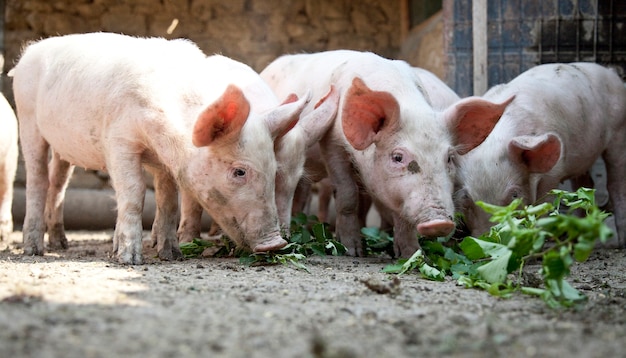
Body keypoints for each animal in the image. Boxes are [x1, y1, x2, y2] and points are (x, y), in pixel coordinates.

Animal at [11, 32, 308, 262]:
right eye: (239, 172)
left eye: (273, 171)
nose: (276, 243)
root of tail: (30, 51)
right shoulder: (119, 141)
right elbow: (134, 192)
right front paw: (130, 260)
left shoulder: (165, 161)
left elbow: (168, 201)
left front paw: (172, 256)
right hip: (28, 119)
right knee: (37, 179)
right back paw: (33, 250)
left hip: (63, 146)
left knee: (58, 182)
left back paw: (60, 244)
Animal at [258, 51, 508, 258]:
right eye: (397, 157)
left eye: (448, 158)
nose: (439, 222)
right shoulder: (332, 144)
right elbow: (347, 195)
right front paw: (352, 251)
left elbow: (398, 213)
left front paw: (411, 255)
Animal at [454, 62, 624, 246]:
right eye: (466, 198)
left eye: (515, 195)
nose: (489, 238)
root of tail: (610, 71)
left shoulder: (553, 172)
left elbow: (543, 205)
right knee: (582, 187)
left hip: (619, 131)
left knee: (616, 183)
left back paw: (621, 242)